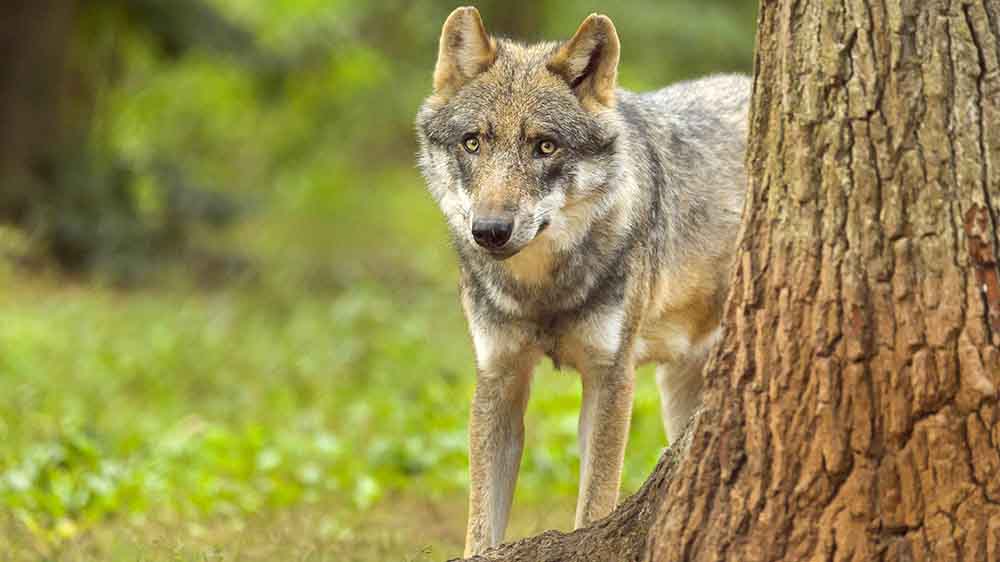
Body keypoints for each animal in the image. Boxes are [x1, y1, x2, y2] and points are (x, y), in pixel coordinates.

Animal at [415, 7, 750, 556]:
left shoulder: (610, 377)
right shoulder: (498, 377)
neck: (541, 291)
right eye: (473, 143)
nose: (489, 231)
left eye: (545, 146)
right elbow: (480, 526)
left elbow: (595, 502)